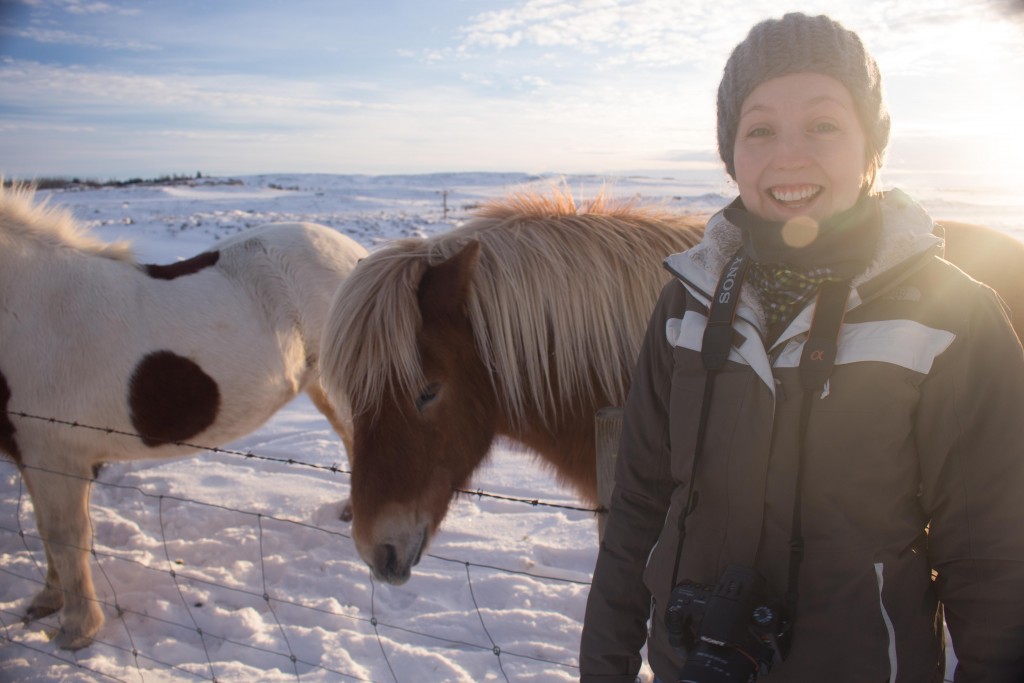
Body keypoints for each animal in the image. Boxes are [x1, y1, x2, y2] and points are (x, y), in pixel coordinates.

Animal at [0, 183, 368, 651]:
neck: (27, 307)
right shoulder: (34, 454)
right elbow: (46, 531)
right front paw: (47, 601)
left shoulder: (54, 455)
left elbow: (66, 538)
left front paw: (76, 631)